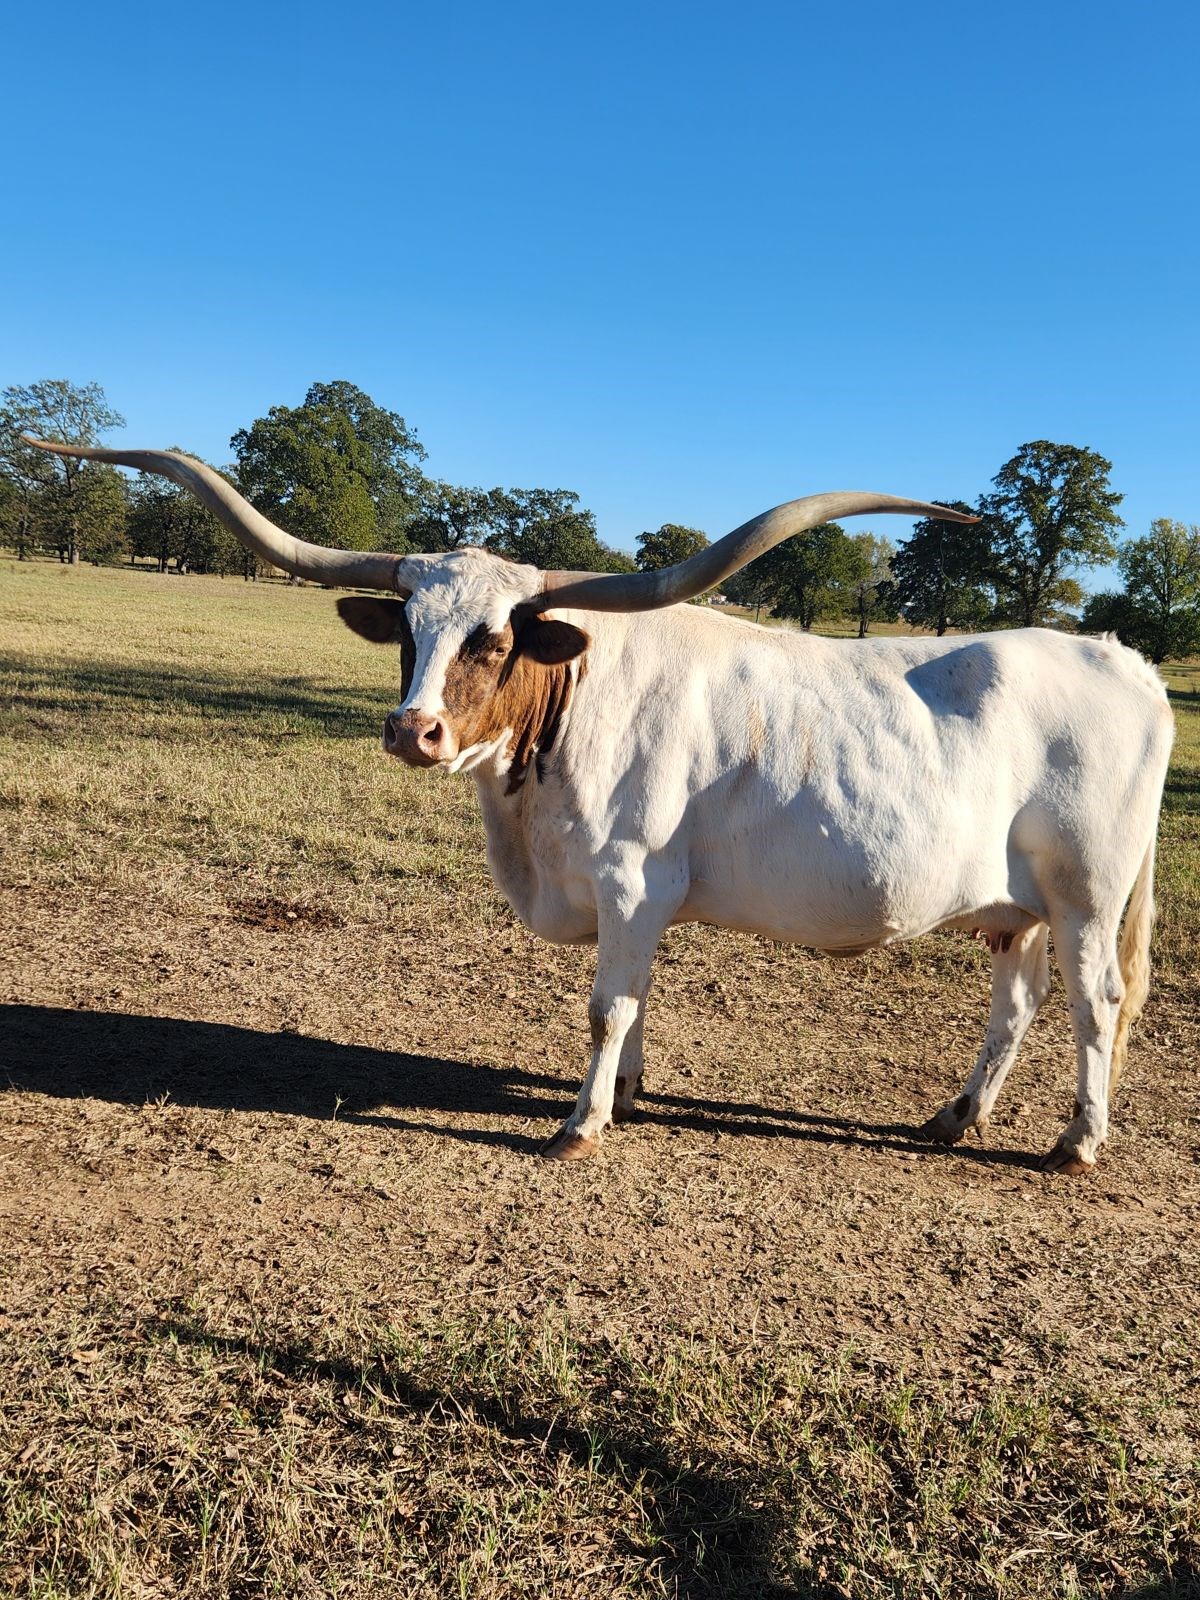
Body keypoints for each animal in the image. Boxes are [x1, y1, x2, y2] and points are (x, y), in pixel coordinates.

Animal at [28, 438, 1174, 1174]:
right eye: (409, 629)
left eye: (495, 637)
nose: (412, 732)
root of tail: (1124, 660)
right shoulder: (641, 902)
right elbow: (637, 1001)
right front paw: (625, 1095)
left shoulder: (630, 880)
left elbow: (605, 1006)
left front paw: (580, 1125)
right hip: (1017, 907)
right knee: (1017, 1004)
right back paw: (953, 1116)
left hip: (1087, 893)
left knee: (1096, 1004)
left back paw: (1076, 1143)